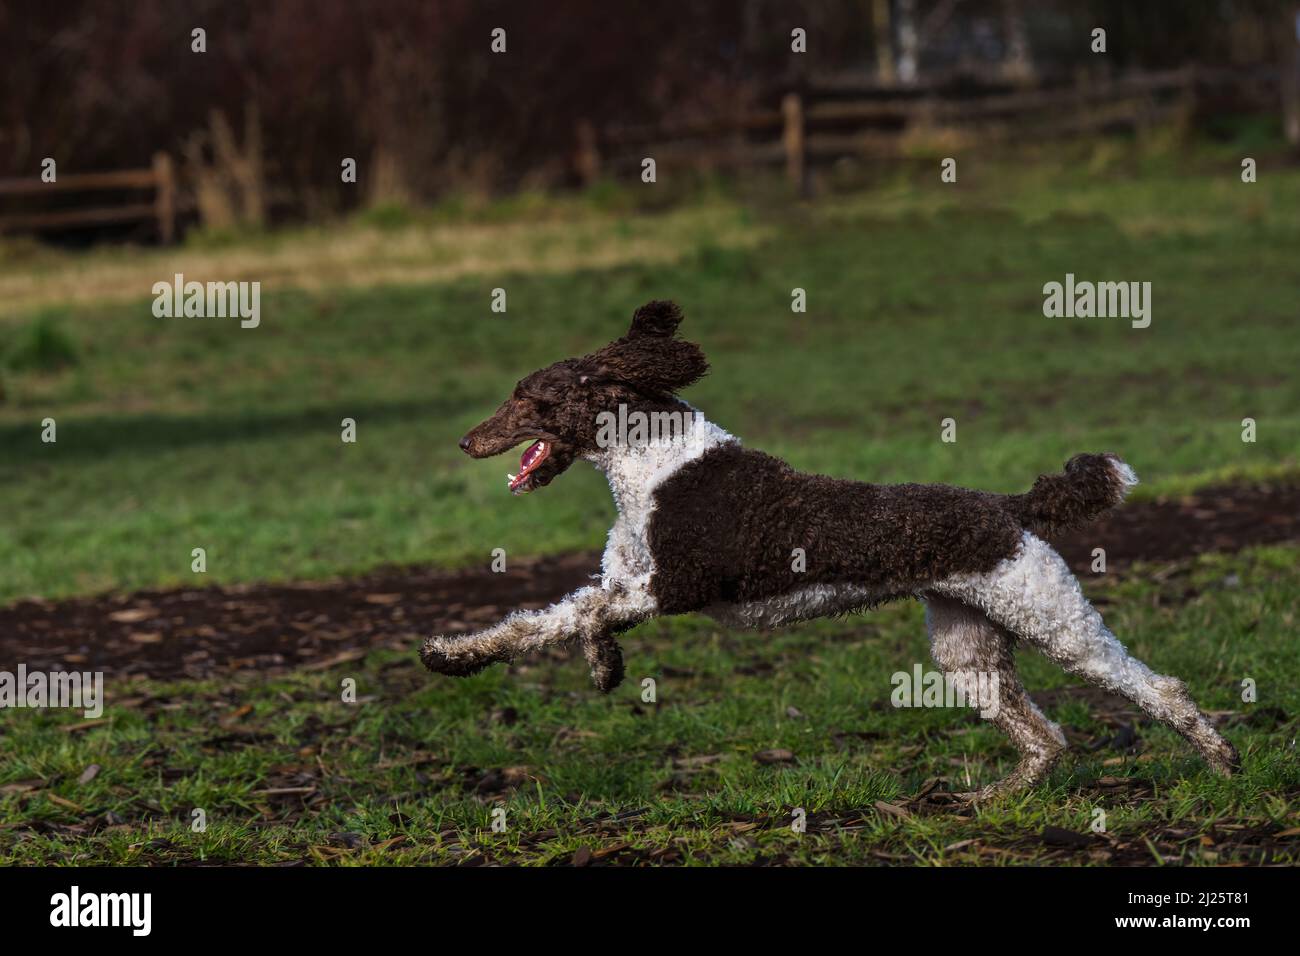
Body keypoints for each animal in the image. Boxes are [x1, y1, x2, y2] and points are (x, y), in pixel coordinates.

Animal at [426, 303, 1237, 796]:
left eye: (527, 397)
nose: (463, 441)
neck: (653, 467)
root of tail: (1008, 507)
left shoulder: (677, 585)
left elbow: (584, 616)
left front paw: (602, 664)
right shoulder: (632, 584)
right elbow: (543, 621)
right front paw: (454, 654)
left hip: (1052, 617)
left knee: (1155, 688)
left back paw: (1222, 762)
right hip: (966, 649)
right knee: (1045, 737)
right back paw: (993, 797)